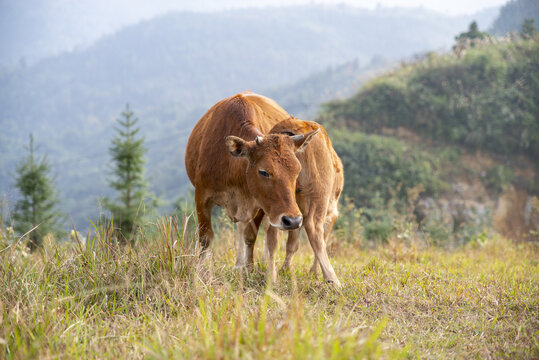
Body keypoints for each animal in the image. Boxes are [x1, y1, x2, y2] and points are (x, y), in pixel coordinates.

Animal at [185, 91, 342, 286]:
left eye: (297, 171)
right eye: (263, 171)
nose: (292, 220)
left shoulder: (260, 204)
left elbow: (250, 236)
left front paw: (249, 268)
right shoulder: (202, 196)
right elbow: (206, 237)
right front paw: (199, 272)